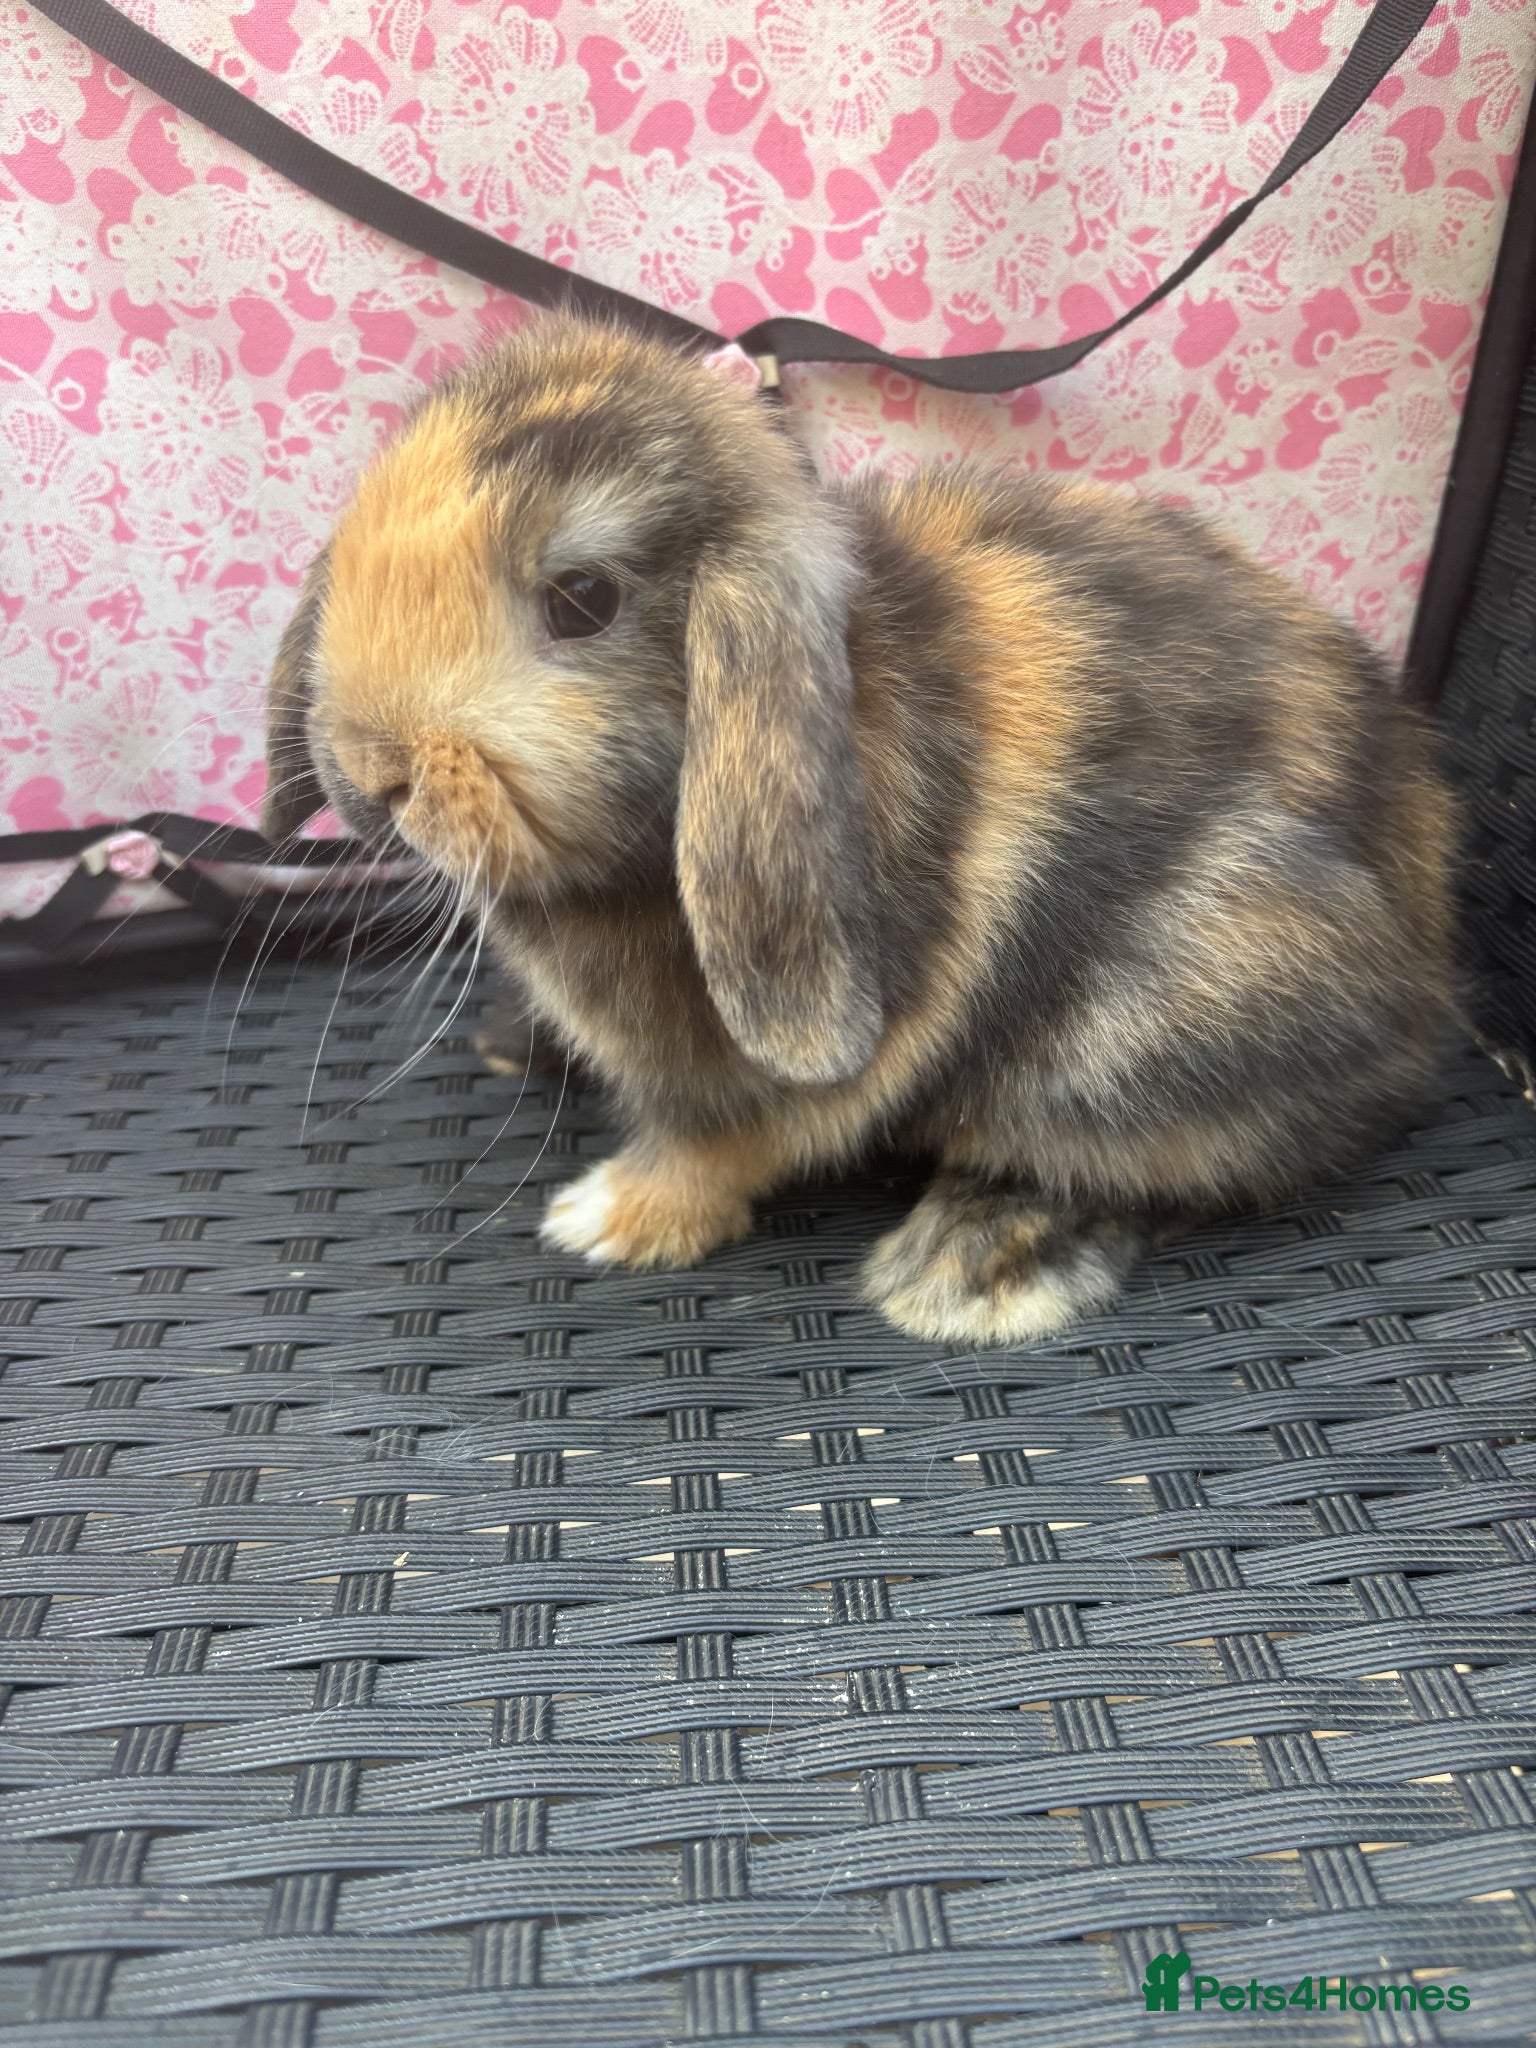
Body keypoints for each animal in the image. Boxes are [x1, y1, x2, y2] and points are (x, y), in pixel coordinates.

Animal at [263, 313, 1459, 1345]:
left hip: (1161, 1016)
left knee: (1190, 1162)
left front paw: (609, 1218)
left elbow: (715, 1143)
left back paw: (966, 1270)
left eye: (581, 599)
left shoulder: (779, 1066)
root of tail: (1423, 986)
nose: (368, 770)